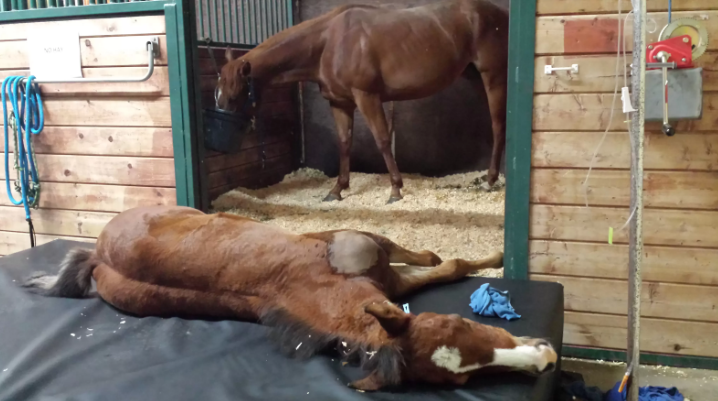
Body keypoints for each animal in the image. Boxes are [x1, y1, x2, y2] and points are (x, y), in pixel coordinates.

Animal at [22, 206, 556, 391]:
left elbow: (437, 266)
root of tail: (98, 251)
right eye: (458, 327)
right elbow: (444, 262)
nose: (546, 358)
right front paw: (492, 255)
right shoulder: (372, 246)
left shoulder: (389, 283)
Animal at [215, 0, 509, 204]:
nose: (221, 146)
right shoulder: (340, 103)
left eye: (234, 96)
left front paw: (395, 189)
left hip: (493, 77)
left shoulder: (366, 96)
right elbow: (345, 143)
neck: (329, 42)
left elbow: (382, 140)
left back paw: (491, 180)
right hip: (475, 77)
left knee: (498, 126)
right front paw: (337, 190)